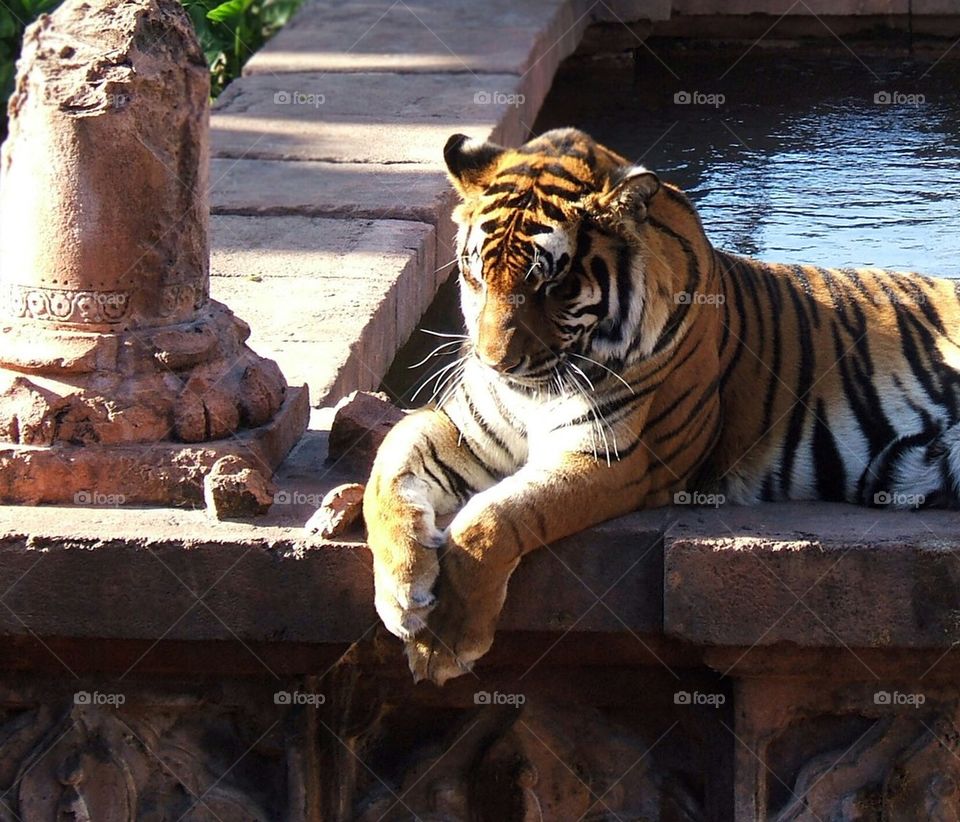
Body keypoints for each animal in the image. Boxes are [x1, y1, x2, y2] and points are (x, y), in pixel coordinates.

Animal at [358, 127, 960, 685]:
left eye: (552, 286)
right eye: (476, 275)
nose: (495, 363)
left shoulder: (619, 459)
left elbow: (495, 515)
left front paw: (445, 640)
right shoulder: (464, 427)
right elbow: (387, 467)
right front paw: (402, 589)